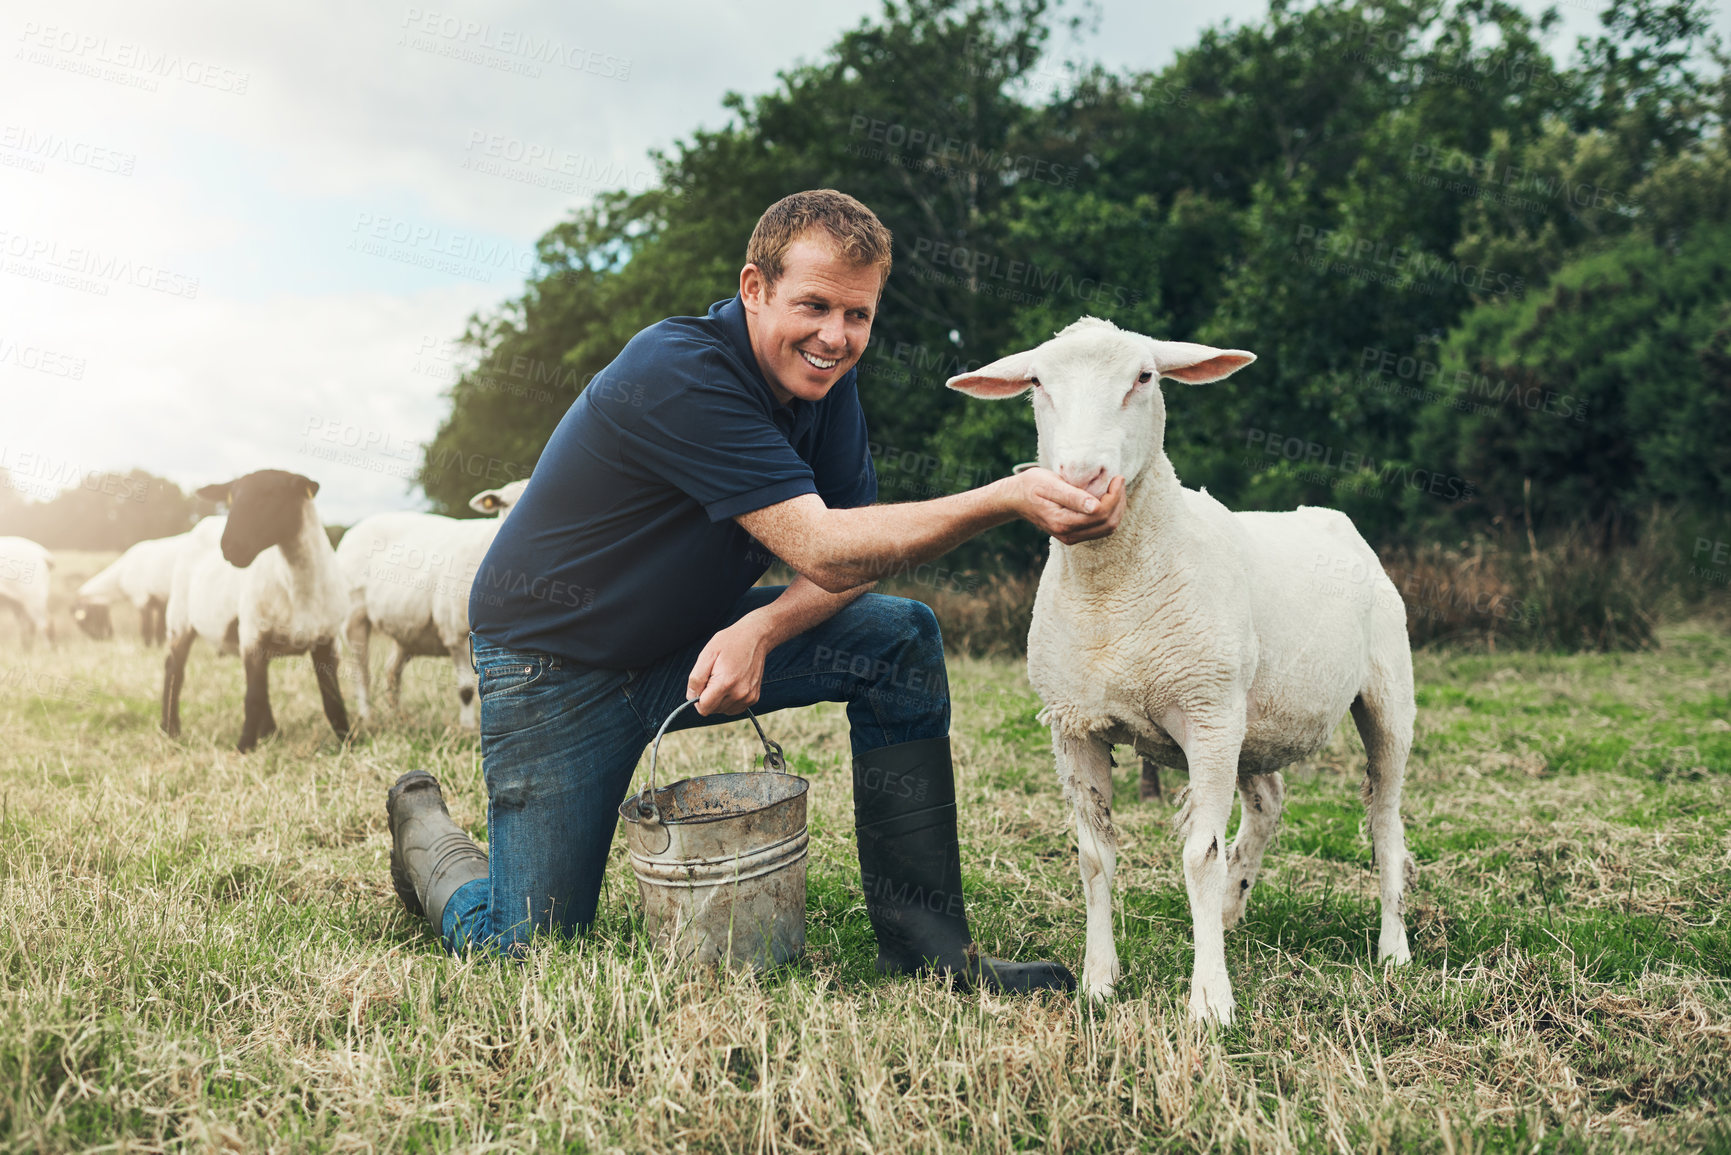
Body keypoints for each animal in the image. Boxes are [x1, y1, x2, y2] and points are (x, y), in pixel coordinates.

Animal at [161, 471, 347, 751]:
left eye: (272, 495)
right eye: (231, 499)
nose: (229, 547)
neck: (296, 586)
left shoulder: (328, 640)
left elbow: (332, 699)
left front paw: (350, 739)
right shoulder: (252, 635)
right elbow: (253, 697)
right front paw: (244, 747)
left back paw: (271, 733)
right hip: (180, 616)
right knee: (174, 668)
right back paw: (170, 729)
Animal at [335, 481, 526, 730]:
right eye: (502, 504)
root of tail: (356, 527)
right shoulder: (456, 633)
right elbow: (466, 689)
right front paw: (467, 729)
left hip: (407, 632)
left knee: (391, 670)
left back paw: (397, 716)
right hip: (353, 618)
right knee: (361, 671)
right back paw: (368, 717)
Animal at [955, 313, 1412, 1018]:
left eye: (1144, 377)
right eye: (1036, 383)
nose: (1082, 479)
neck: (1112, 594)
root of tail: (1331, 518)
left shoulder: (1207, 716)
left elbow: (1200, 855)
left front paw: (1211, 1003)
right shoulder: (1075, 724)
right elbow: (1094, 857)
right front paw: (1098, 982)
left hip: (1382, 694)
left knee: (1384, 821)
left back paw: (1393, 951)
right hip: (1252, 719)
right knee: (1267, 803)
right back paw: (1228, 911)